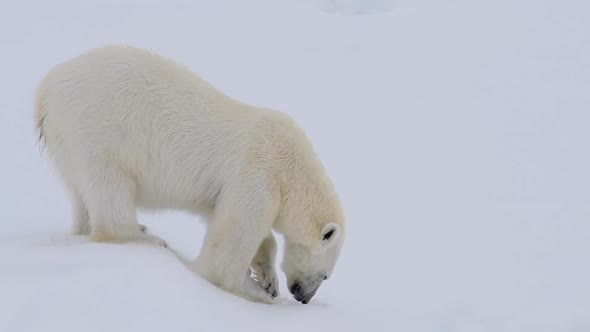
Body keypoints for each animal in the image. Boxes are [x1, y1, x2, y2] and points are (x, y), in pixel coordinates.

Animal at [34, 45, 346, 304]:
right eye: (326, 275)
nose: (304, 297)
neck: (291, 170)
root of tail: (47, 88)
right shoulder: (258, 173)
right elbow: (227, 250)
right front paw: (257, 291)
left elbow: (223, 217)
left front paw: (268, 277)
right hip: (99, 131)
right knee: (111, 188)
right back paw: (144, 236)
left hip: (66, 143)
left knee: (81, 193)